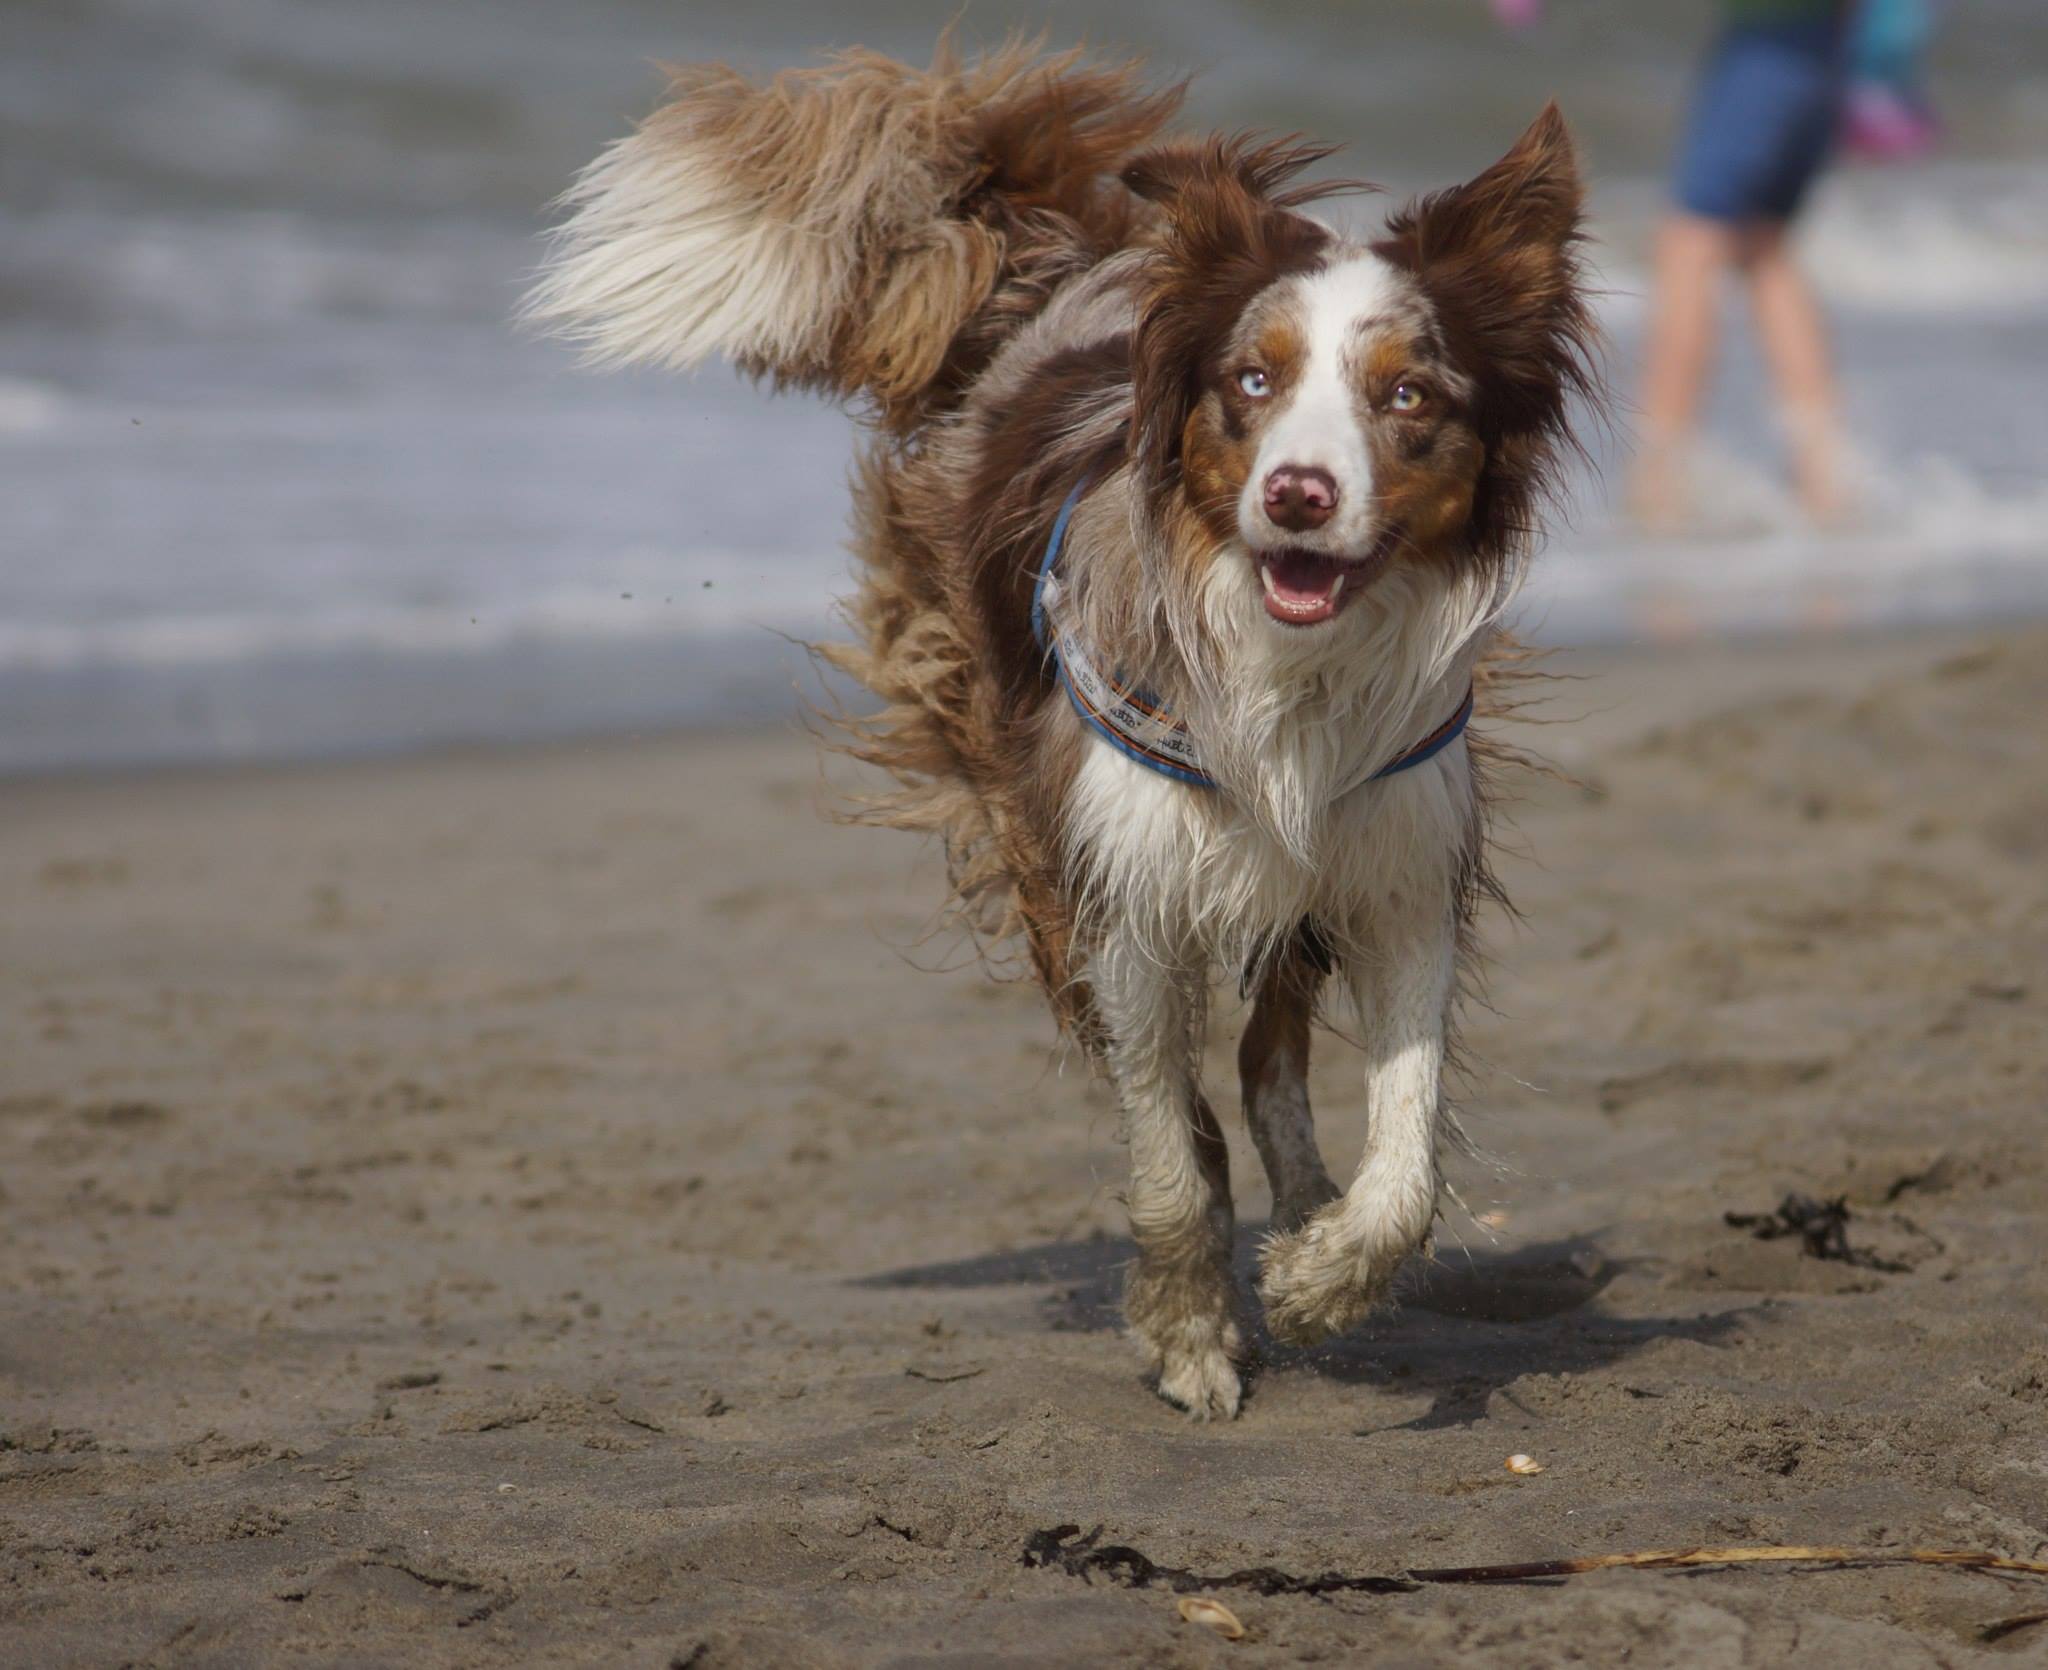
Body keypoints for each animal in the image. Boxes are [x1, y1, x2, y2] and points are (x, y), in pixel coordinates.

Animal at [540, 45, 1597, 1417]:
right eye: (1251, 381)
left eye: (1405, 394)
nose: (1296, 495)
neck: (1284, 675)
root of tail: (1063, 259)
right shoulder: (1120, 884)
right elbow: (1167, 1156)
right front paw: (1192, 1333)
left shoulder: (1396, 862)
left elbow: (1405, 1158)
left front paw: (1321, 1274)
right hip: (1019, 807)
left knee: (1267, 1057)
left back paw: (1302, 1203)